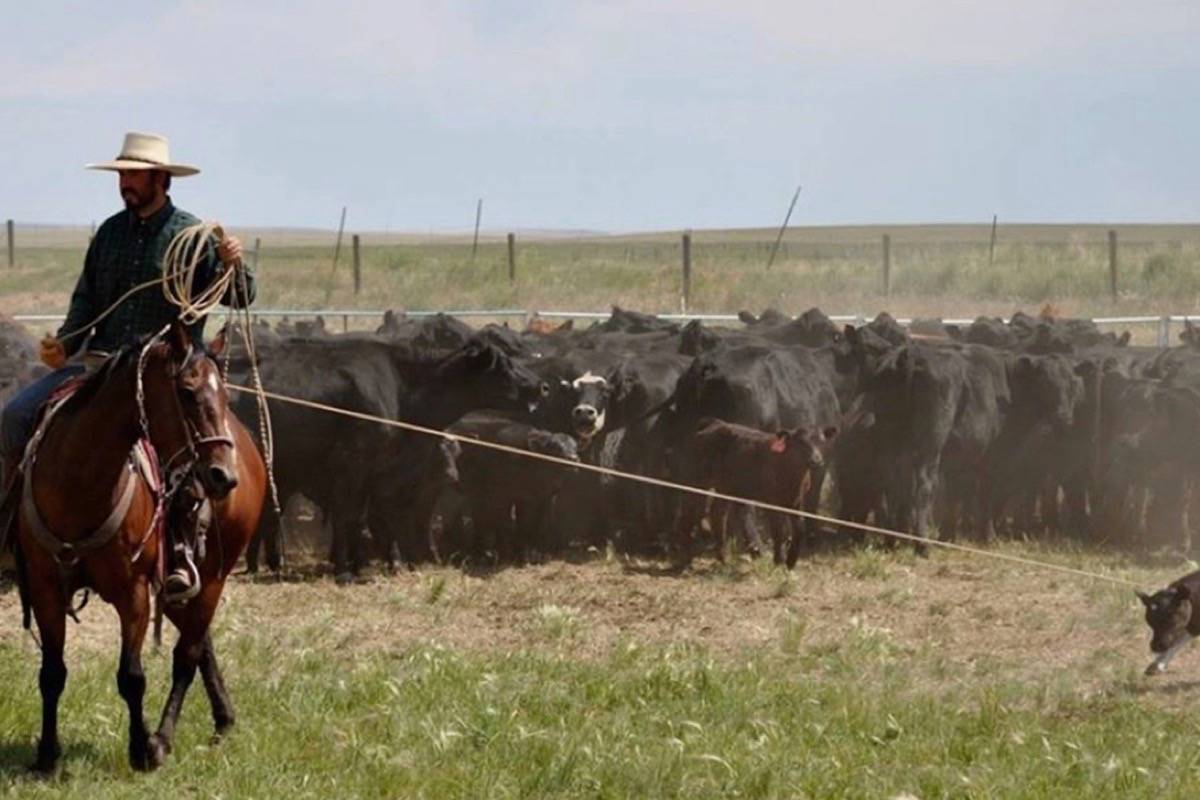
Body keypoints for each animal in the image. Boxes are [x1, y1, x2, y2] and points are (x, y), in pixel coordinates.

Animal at [13, 320, 265, 773]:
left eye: (224, 394)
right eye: (187, 391)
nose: (223, 476)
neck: (79, 483)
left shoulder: (133, 592)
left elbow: (131, 677)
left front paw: (139, 748)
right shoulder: (45, 588)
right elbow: (52, 673)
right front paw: (47, 755)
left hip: (212, 578)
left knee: (187, 655)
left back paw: (163, 738)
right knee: (201, 643)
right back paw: (223, 718)